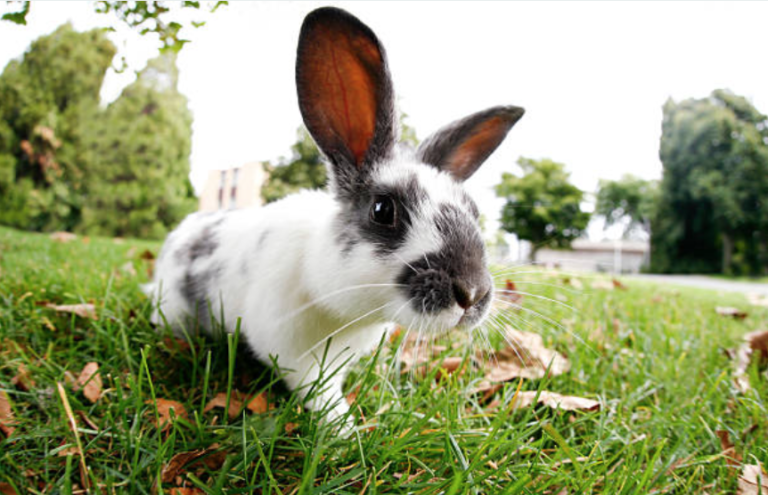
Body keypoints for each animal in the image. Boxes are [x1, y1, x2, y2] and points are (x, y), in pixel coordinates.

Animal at [144, 6, 524, 421]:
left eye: (473, 210)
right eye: (382, 210)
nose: (472, 294)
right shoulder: (292, 351)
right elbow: (319, 393)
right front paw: (343, 427)